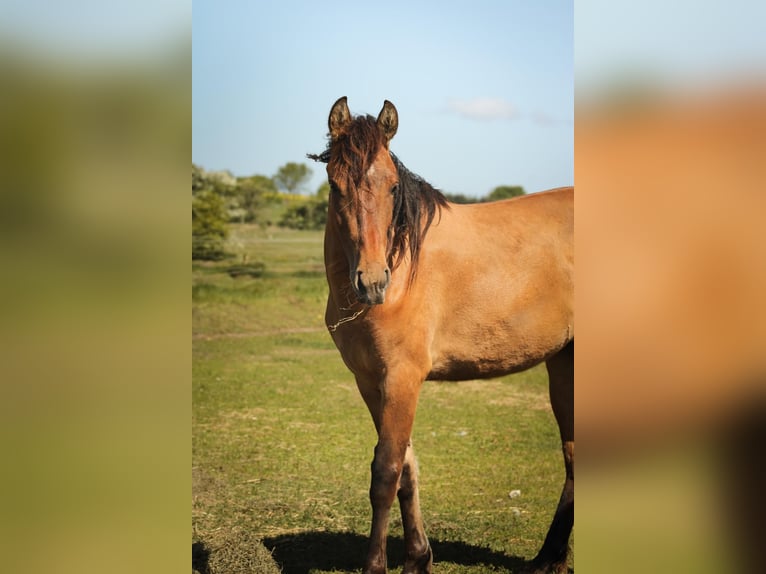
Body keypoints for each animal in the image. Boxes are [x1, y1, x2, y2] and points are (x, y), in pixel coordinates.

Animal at [308, 97, 574, 574]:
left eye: (393, 186)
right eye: (335, 187)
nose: (372, 282)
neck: (403, 269)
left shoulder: (402, 378)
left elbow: (386, 472)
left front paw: (376, 564)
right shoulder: (371, 382)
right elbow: (407, 470)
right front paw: (417, 557)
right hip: (565, 362)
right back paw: (549, 559)